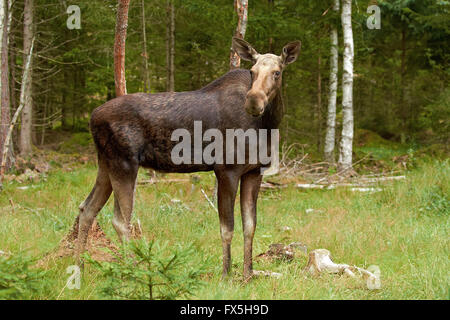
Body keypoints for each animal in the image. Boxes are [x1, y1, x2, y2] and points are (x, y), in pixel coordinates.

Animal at [76, 37, 302, 278]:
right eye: (252, 71)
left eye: (277, 72)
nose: (253, 101)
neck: (267, 126)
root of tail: (92, 117)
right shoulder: (226, 170)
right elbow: (227, 228)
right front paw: (226, 275)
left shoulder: (254, 171)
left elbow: (250, 227)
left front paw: (248, 275)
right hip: (124, 163)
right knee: (120, 220)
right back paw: (131, 270)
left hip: (105, 164)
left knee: (87, 208)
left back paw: (78, 266)